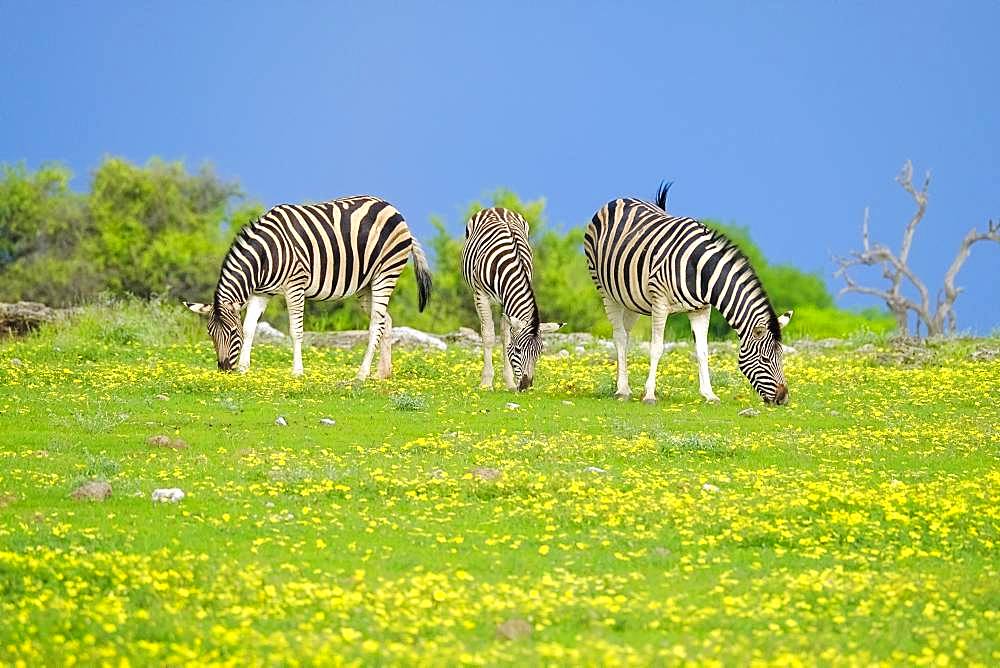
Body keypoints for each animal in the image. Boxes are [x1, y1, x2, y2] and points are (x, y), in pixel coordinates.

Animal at [183, 196, 430, 378]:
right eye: (210, 333)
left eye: (232, 333)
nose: (224, 369)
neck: (265, 256)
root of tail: (391, 207)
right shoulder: (261, 292)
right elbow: (250, 327)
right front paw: (244, 369)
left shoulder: (295, 286)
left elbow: (295, 331)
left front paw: (297, 372)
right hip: (365, 284)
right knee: (385, 320)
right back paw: (382, 374)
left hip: (385, 273)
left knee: (375, 323)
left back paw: (361, 374)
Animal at [460, 206, 564, 388]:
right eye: (517, 350)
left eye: (539, 352)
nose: (525, 385)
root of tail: (497, 208)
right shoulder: (481, 295)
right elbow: (488, 335)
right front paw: (486, 383)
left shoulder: (507, 301)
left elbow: (506, 337)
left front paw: (509, 382)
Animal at [584, 185, 792, 408]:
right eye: (764, 360)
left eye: (782, 357)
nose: (783, 398)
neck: (700, 270)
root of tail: (621, 199)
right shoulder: (660, 303)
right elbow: (656, 348)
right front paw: (649, 395)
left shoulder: (701, 309)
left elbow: (702, 351)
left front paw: (709, 395)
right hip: (606, 291)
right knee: (620, 337)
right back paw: (622, 390)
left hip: (630, 299)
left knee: (626, 335)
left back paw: (622, 385)